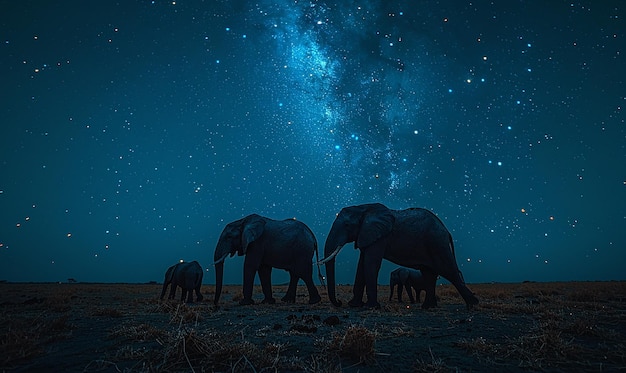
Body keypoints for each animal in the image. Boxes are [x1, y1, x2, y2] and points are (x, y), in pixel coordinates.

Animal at [322, 203, 478, 308]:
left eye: (347, 225)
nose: (339, 302)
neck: (363, 208)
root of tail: (447, 231)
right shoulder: (367, 236)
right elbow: (361, 265)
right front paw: (354, 305)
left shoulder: (380, 237)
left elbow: (370, 264)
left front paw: (370, 307)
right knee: (429, 274)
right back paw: (428, 307)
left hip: (437, 243)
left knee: (449, 271)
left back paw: (473, 305)